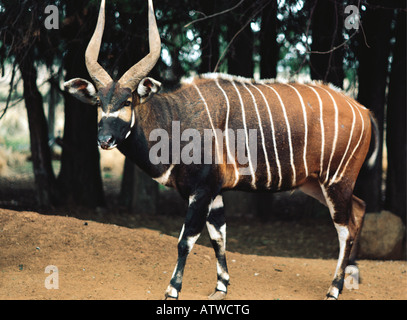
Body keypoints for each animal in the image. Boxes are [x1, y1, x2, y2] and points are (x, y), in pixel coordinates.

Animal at [63, 0, 380, 300]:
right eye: (99, 103)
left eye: (127, 101)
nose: (104, 139)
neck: (176, 118)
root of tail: (364, 110)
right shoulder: (214, 192)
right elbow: (219, 236)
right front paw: (221, 287)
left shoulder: (201, 191)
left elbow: (186, 239)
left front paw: (172, 289)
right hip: (315, 184)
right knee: (360, 209)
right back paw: (351, 277)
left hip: (336, 181)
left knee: (345, 229)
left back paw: (334, 289)